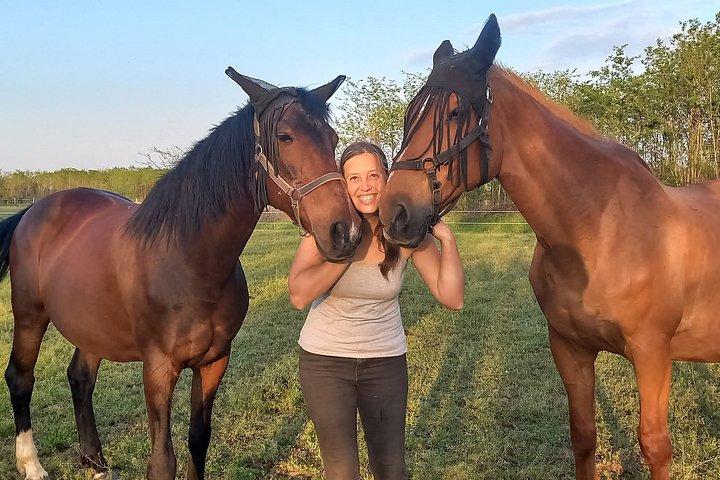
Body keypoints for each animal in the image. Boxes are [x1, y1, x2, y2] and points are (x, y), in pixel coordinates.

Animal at [0, 69, 361, 480]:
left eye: (332, 139)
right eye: (285, 136)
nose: (346, 232)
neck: (190, 262)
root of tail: (33, 210)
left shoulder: (214, 361)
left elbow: (198, 440)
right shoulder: (158, 368)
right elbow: (162, 461)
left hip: (90, 326)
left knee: (80, 379)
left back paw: (95, 463)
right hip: (30, 314)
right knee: (20, 378)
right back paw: (31, 465)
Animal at [379, 14, 720, 480]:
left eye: (455, 113)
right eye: (410, 114)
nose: (393, 213)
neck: (598, 228)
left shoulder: (652, 353)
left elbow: (655, 446)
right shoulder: (569, 348)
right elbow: (583, 436)